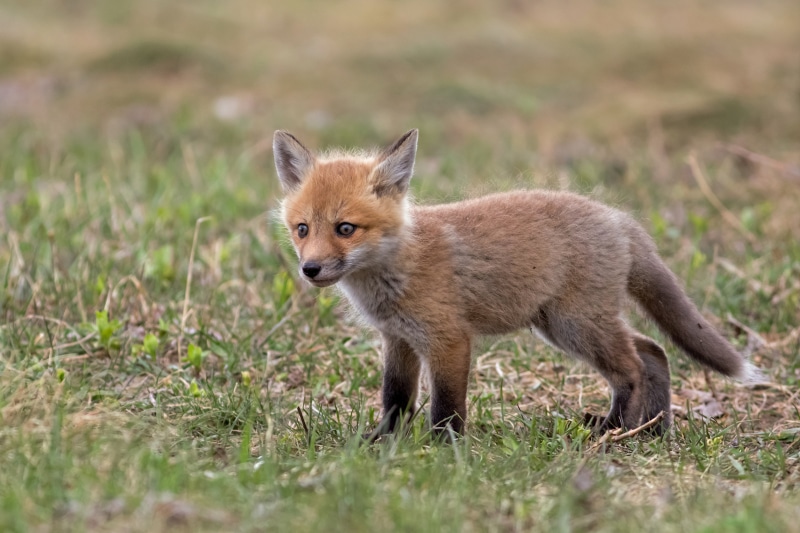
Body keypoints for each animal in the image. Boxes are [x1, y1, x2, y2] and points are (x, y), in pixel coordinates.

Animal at [273, 128, 760, 438]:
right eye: (302, 229)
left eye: (345, 229)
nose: (310, 269)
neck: (397, 267)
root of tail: (618, 218)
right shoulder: (400, 340)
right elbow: (395, 399)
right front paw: (381, 443)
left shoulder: (450, 340)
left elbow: (447, 408)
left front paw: (444, 451)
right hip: (564, 325)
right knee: (654, 351)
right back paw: (651, 430)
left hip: (576, 324)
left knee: (633, 367)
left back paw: (614, 429)